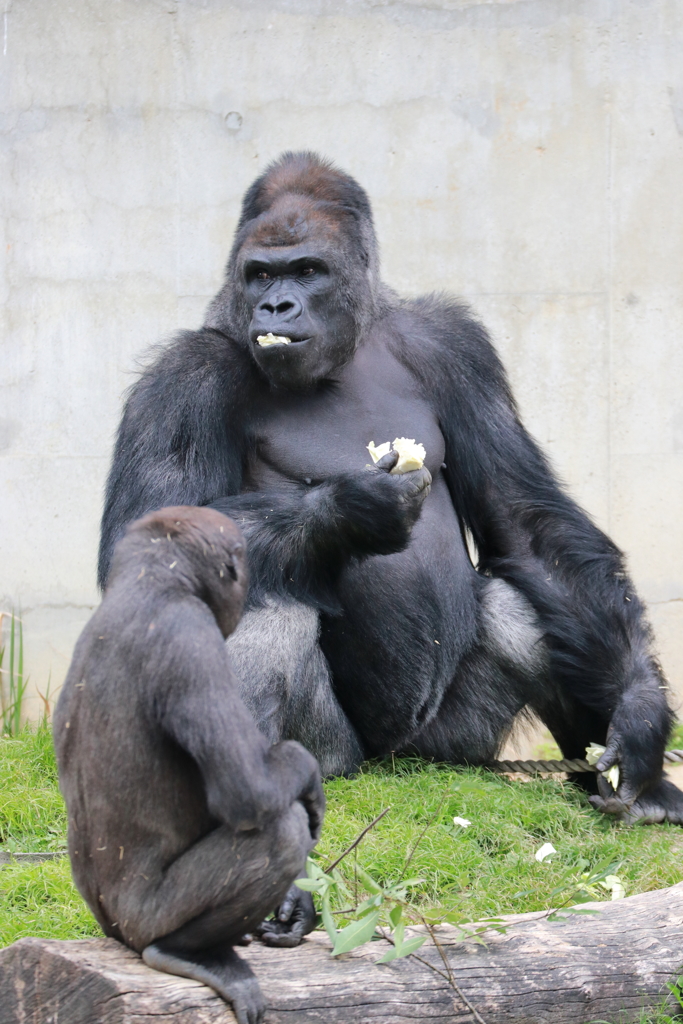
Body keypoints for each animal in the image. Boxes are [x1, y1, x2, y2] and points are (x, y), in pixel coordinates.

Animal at [53, 505, 325, 1024]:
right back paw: (187, 952)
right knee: (281, 831)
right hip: (144, 919)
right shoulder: (192, 639)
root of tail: (112, 925)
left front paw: (296, 904)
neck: (147, 586)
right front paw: (305, 769)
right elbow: (249, 790)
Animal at [97, 149, 683, 823]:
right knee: (253, 605)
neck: (348, 348)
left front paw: (640, 712)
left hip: (452, 748)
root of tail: (392, 764)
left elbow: (527, 525)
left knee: (521, 604)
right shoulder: (181, 379)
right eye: (259, 275)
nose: (275, 309)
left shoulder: (456, 347)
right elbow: (143, 542)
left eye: (307, 270)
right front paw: (347, 509)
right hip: (340, 756)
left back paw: (616, 778)